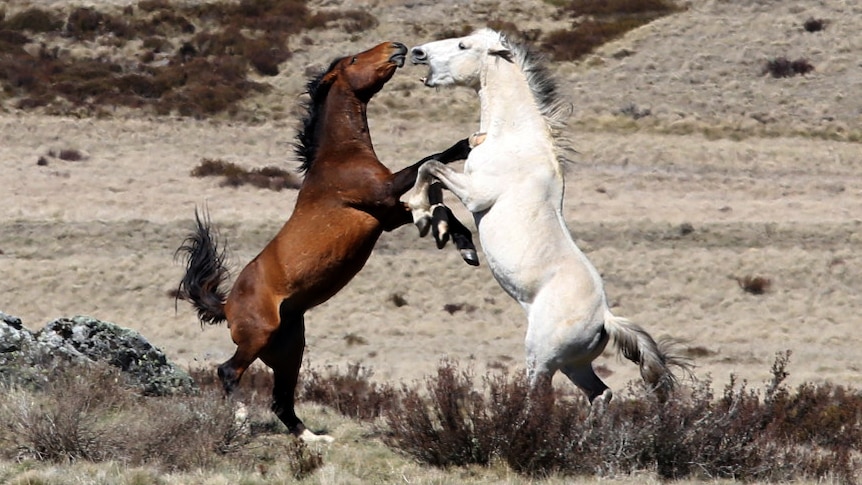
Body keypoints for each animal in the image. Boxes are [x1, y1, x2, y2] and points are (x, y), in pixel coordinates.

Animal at [173, 41, 476, 440]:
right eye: (354, 60)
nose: (396, 47)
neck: (339, 155)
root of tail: (226, 306)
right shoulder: (383, 194)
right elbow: (428, 162)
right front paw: (469, 143)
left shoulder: (390, 213)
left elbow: (441, 207)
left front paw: (463, 245)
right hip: (258, 336)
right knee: (228, 371)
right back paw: (240, 423)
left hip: (289, 350)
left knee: (281, 401)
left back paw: (314, 439)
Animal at [408, 28, 684, 402]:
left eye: (464, 45)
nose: (417, 52)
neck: (512, 136)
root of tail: (605, 319)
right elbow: (434, 179)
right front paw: (439, 229)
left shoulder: (476, 195)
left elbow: (430, 167)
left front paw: (421, 215)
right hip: (574, 366)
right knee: (601, 394)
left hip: (541, 360)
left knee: (539, 396)